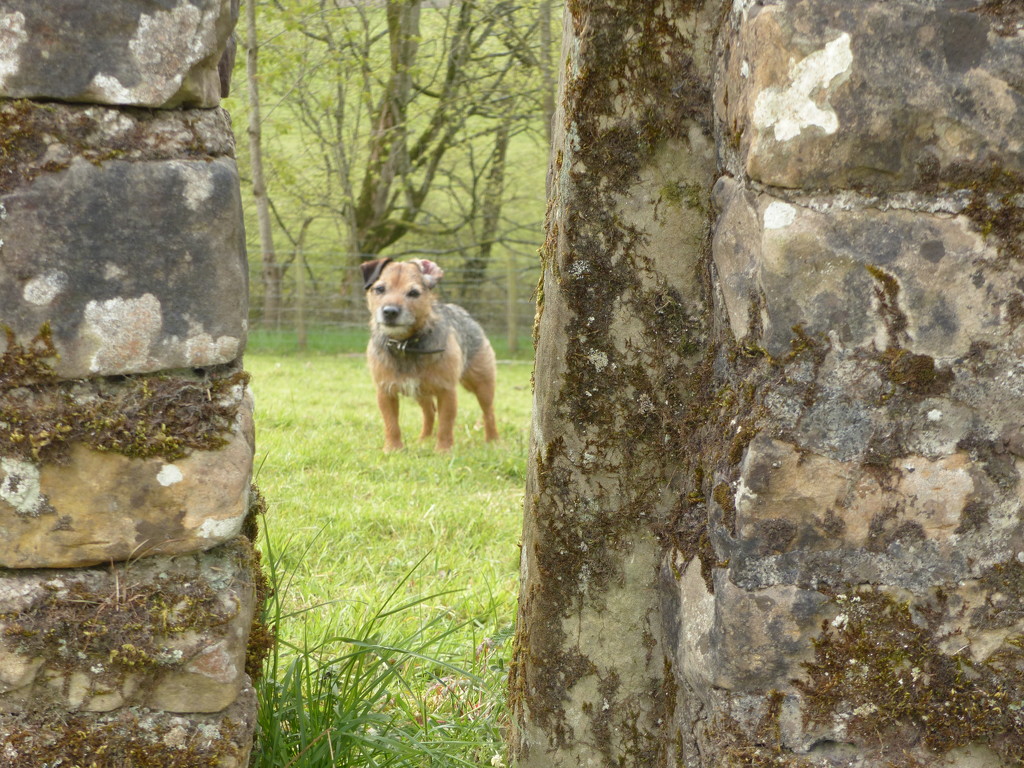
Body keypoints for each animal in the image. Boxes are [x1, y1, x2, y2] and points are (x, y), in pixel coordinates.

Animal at [364, 259, 499, 450]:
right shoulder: (385, 392)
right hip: (421, 392)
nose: (390, 311)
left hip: (482, 385)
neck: (406, 344)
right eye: (380, 289)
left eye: (413, 293)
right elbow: (391, 423)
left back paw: (493, 440)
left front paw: (443, 450)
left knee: (488, 411)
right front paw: (393, 448)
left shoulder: (446, 391)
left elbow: (445, 423)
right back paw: (424, 439)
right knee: (429, 412)